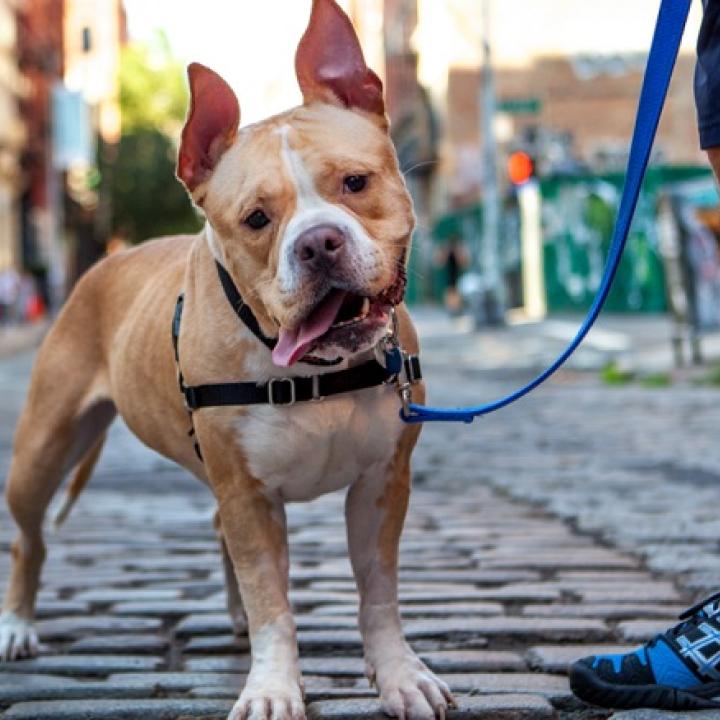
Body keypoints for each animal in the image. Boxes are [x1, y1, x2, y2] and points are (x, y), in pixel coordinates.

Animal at [0, 2, 456, 716]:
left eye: (356, 183)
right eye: (256, 219)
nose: (318, 243)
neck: (312, 370)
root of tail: (103, 262)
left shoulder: (381, 483)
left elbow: (378, 595)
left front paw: (399, 676)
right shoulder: (248, 494)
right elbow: (274, 603)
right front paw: (273, 686)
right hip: (43, 449)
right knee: (29, 536)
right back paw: (18, 625)